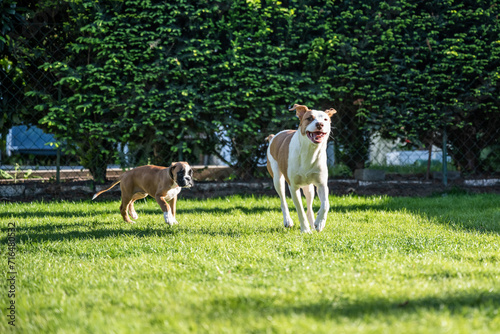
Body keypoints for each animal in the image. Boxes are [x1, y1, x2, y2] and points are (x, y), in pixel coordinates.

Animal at [266, 104, 336, 232]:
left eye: (325, 119)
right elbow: (299, 209)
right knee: (283, 200)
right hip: (277, 178)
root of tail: (274, 137)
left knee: (309, 206)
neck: (310, 151)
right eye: (309, 118)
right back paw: (288, 221)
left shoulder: (322, 184)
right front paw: (305, 230)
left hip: (309, 187)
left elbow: (325, 204)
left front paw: (320, 222)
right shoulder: (293, 186)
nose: (320, 124)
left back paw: (313, 224)